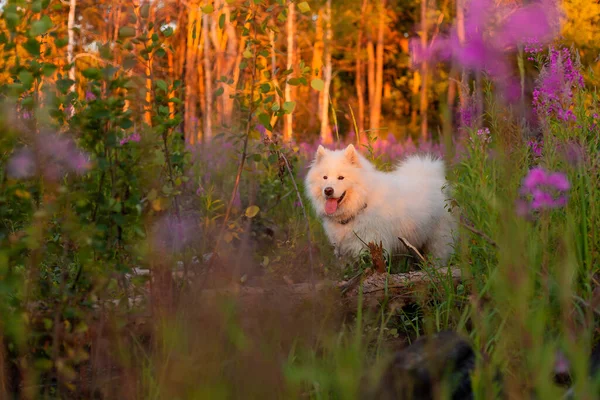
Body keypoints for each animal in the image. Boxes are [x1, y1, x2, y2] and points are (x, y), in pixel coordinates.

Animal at [308, 145, 458, 266]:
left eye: (341, 177)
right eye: (325, 177)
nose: (328, 190)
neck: (362, 204)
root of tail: (432, 178)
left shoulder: (373, 245)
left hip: (437, 241)